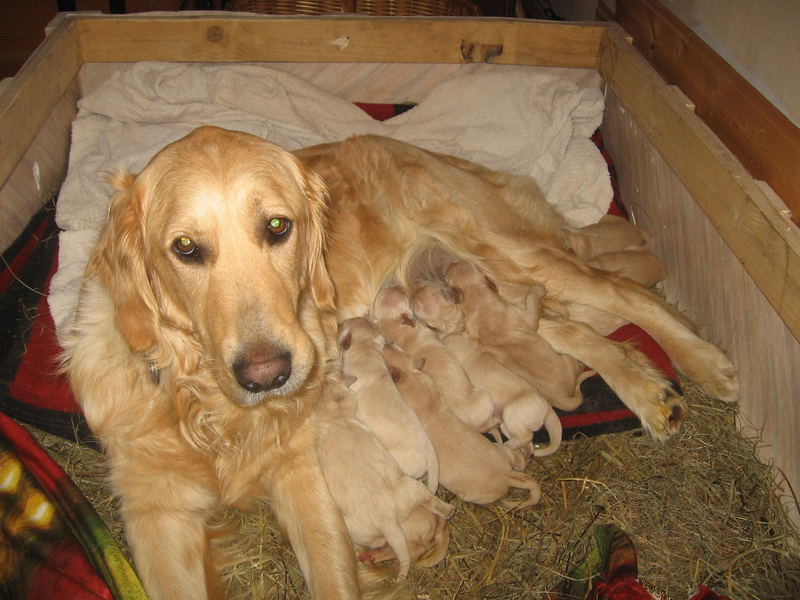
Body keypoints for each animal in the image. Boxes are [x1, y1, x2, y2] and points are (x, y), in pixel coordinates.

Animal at [314, 370, 454, 580]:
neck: (337, 418)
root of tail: (388, 520)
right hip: (412, 489)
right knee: (430, 502)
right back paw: (449, 510)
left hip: (357, 527)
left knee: (398, 549)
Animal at [382, 342, 544, 510]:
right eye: (399, 350)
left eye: (386, 354)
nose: (387, 342)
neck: (412, 378)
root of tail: (507, 476)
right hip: (501, 450)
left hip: (475, 496)